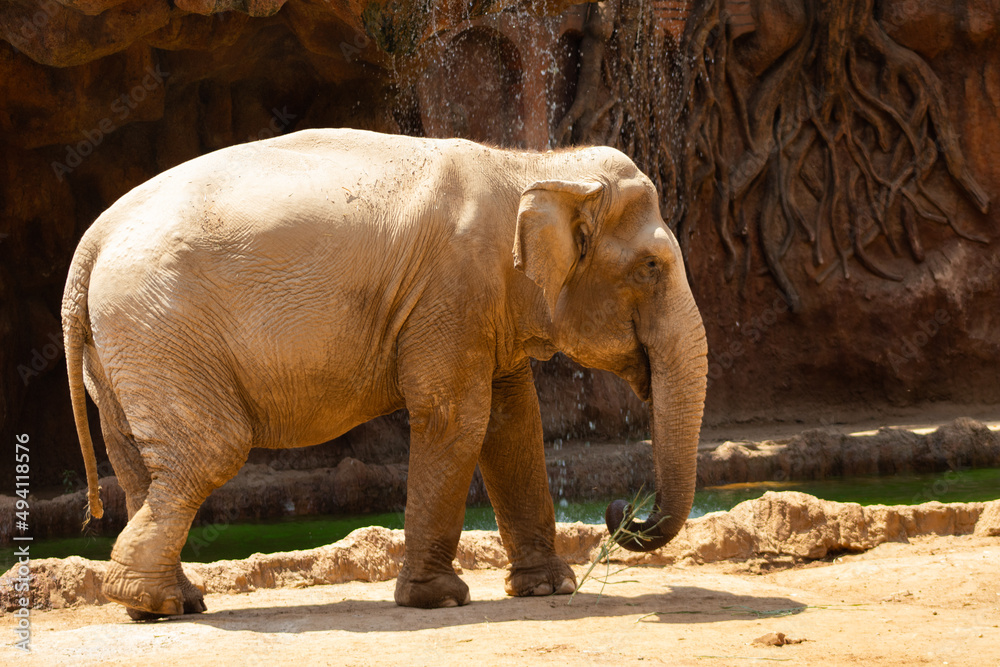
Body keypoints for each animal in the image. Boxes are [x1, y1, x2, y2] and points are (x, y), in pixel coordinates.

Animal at [62, 128, 708, 617]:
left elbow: (513, 421)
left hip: (121, 349)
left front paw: (549, 588)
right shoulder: (451, 293)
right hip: (160, 328)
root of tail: (89, 243)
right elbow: (457, 417)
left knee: (142, 462)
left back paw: (166, 600)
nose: (621, 512)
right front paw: (439, 600)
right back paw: (157, 602)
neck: (529, 167)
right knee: (209, 452)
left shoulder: (482, 306)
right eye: (652, 267)